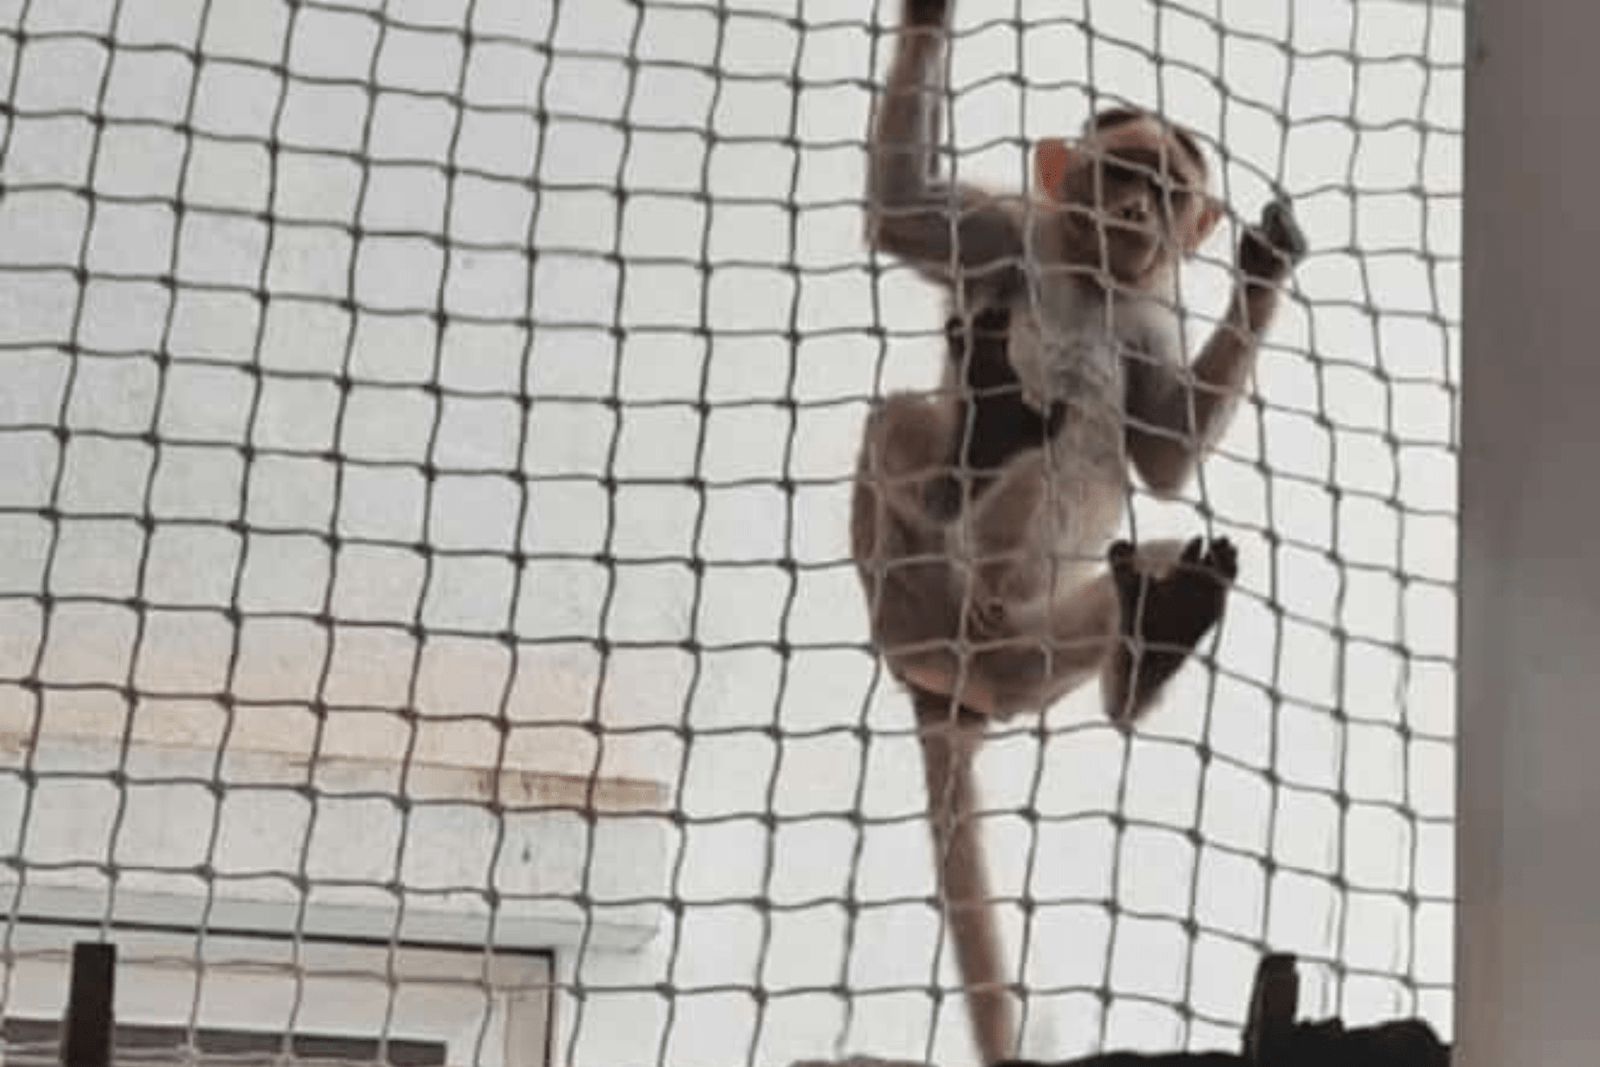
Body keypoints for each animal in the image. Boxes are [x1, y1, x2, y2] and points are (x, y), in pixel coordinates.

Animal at [850, 1, 1307, 1062]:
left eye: (1169, 190)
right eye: (1121, 173)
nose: (1137, 217)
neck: (1094, 279)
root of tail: (946, 687)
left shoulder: (1147, 315)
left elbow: (1168, 460)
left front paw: (1263, 275)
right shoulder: (1004, 228)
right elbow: (901, 209)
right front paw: (928, 15)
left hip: (1023, 662)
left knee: (1128, 572)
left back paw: (1153, 640)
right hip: (911, 594)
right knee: (897, 425)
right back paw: (972, 445)